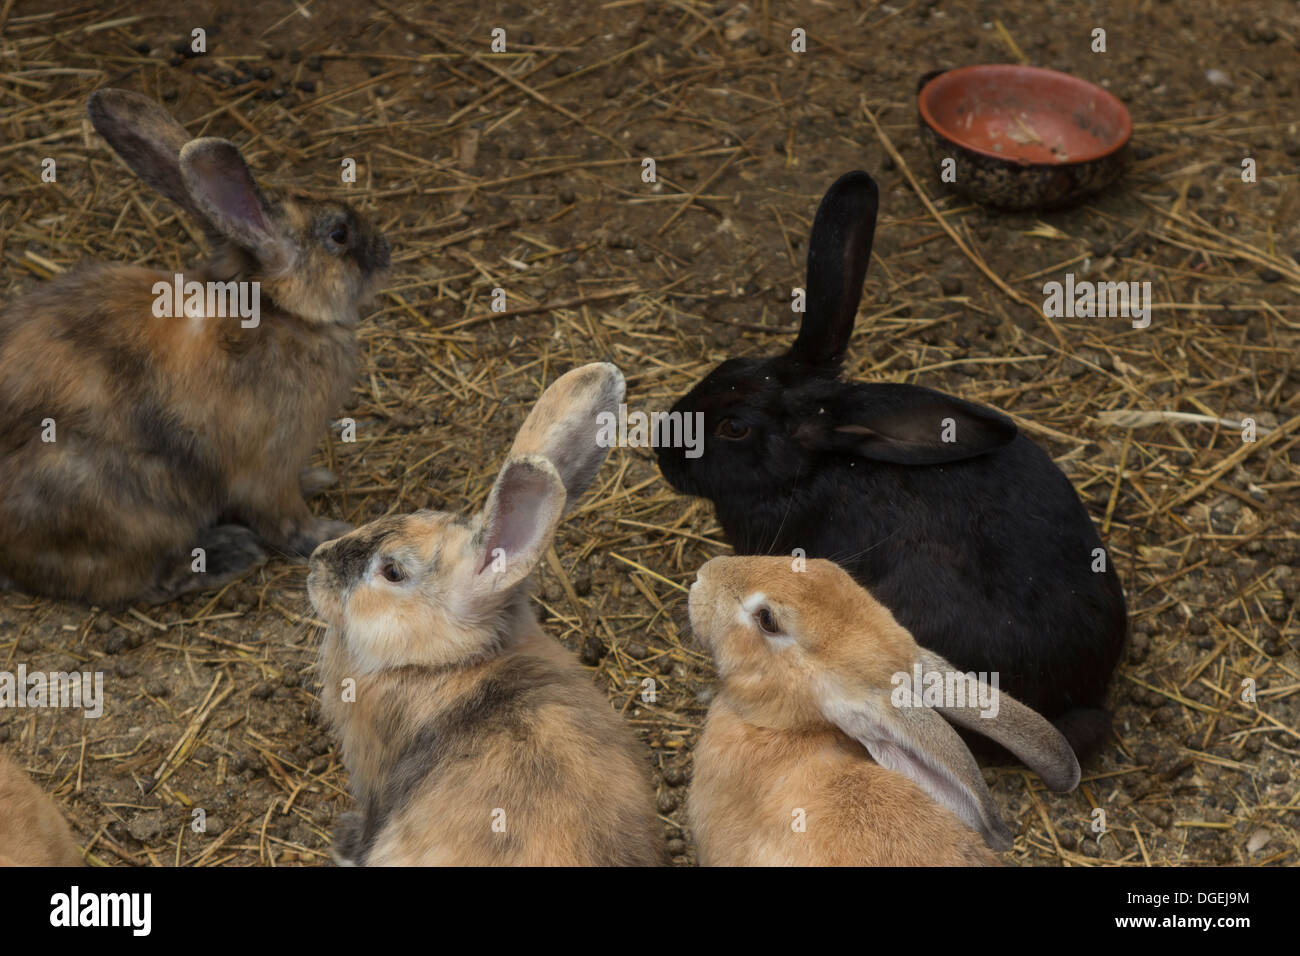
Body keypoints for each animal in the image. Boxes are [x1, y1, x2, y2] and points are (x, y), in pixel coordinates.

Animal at [0, 88, 390, 607]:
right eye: (339, 235)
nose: (386, 250)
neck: (278, 312)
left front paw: (318, 480)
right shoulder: (268, 471)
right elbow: (287, 522)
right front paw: (329, 532)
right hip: (114, 500)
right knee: (137, 580)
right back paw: (229, 554)